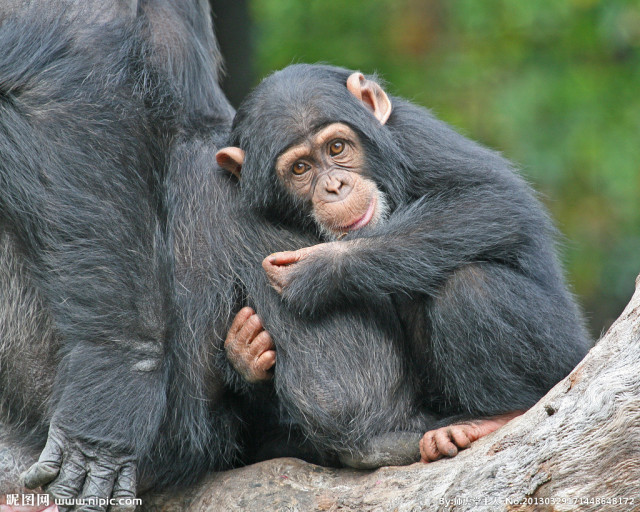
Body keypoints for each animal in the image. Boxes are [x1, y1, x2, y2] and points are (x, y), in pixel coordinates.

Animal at [216, 62, 592, 462]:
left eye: (337, 147)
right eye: (301, 168)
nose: (334, 186)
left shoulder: (415, 137)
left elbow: (493, 199)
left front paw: (320, 268)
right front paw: (245, 350)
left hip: (564, 354)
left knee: (473, 287)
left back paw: (496, 417)